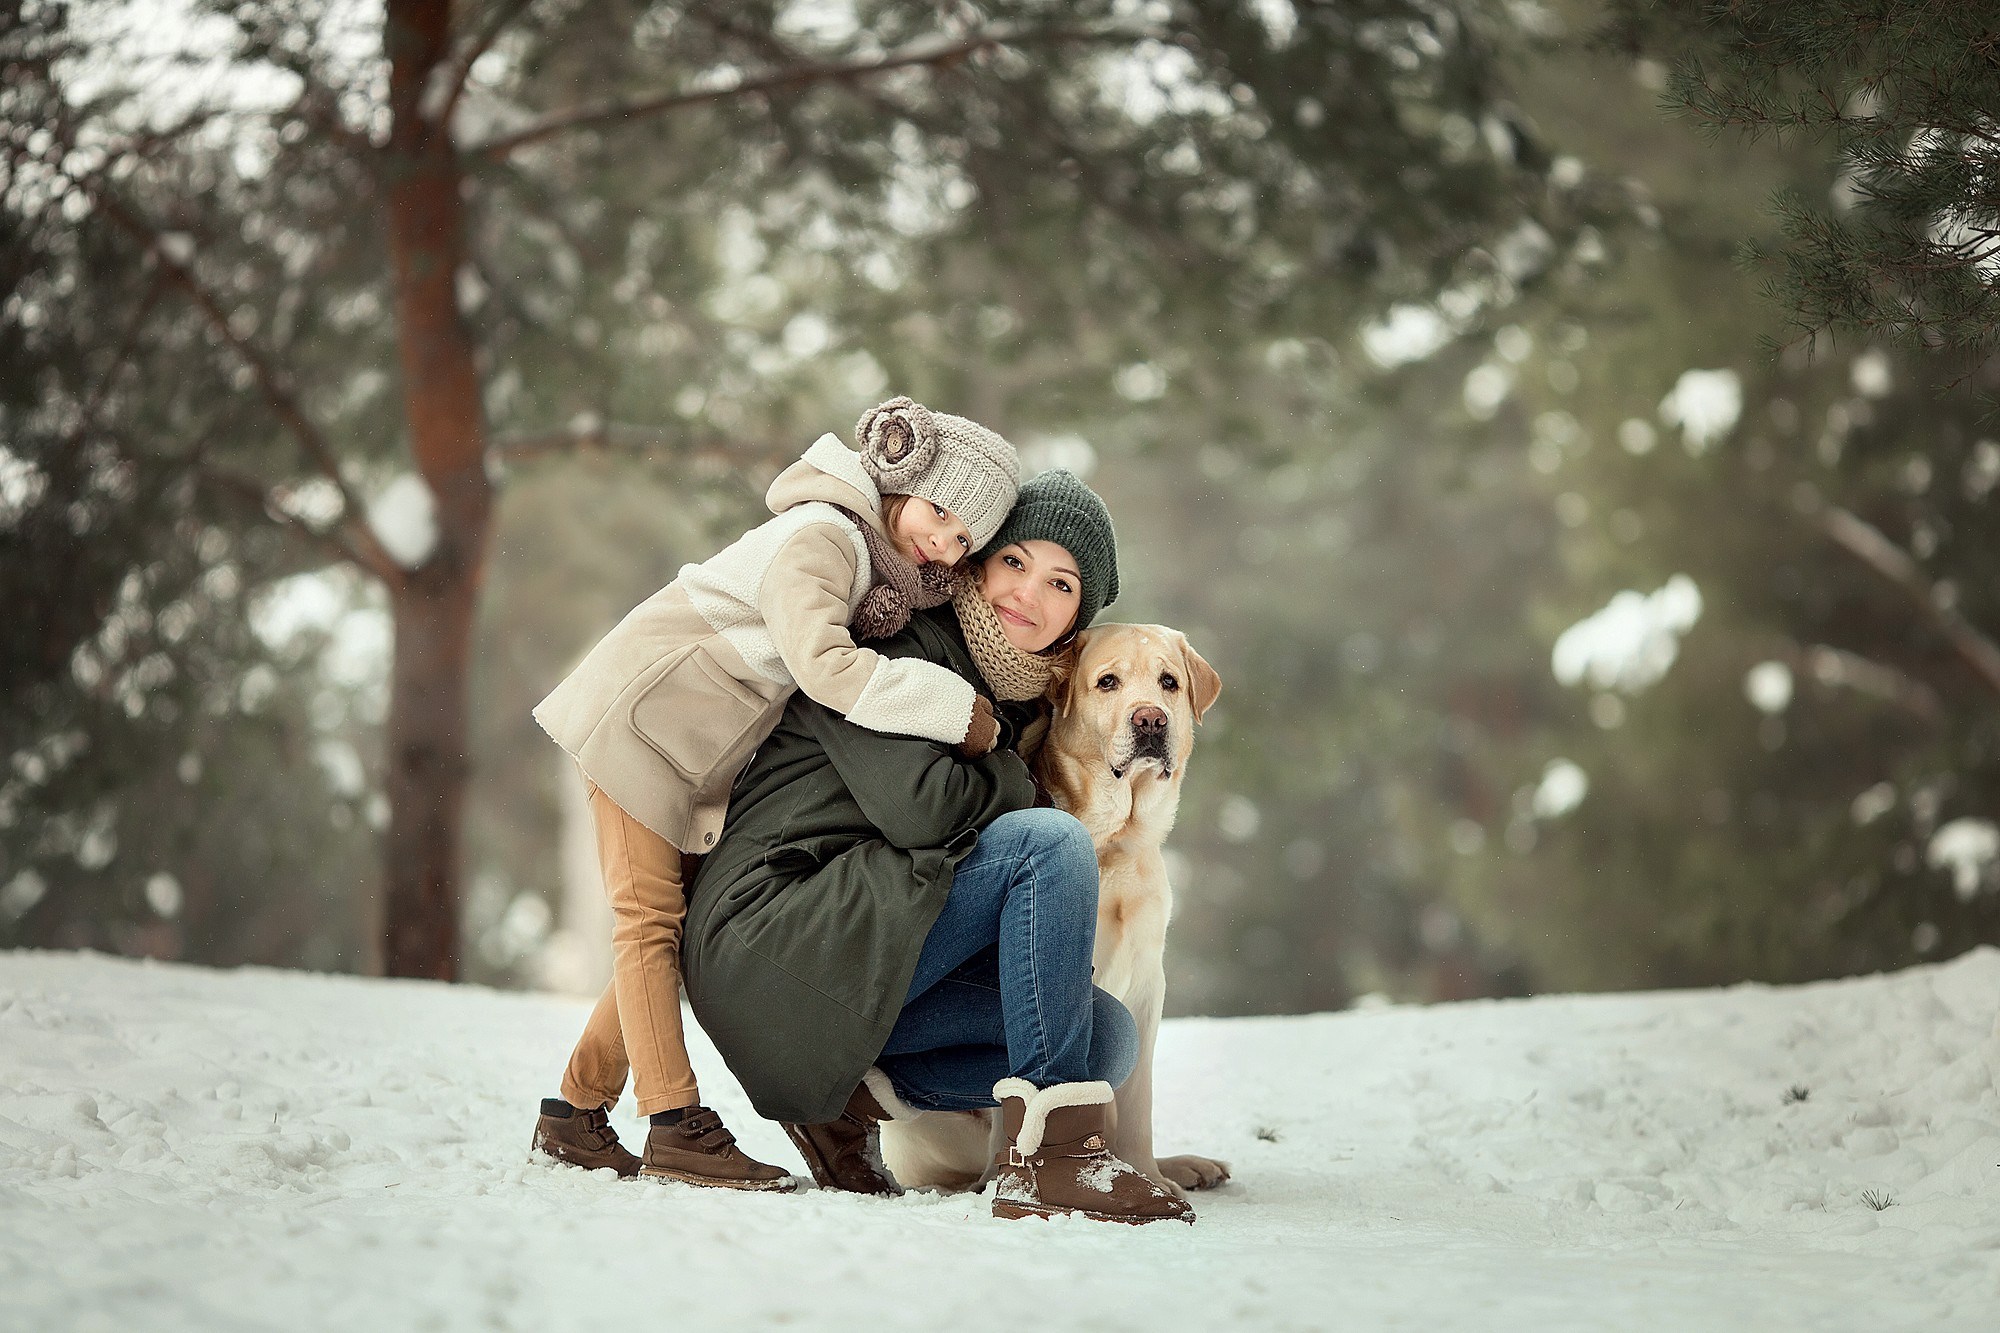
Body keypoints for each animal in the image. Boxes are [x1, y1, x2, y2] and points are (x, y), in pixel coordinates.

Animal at [880, 624, 1224, 1192]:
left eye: (1169, 682)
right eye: (1107, 682)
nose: (1151, 719)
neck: (1114, 843)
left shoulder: (1148, 985)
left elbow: (1138, 1104)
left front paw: (1151, 1174)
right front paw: (1003, 1176)